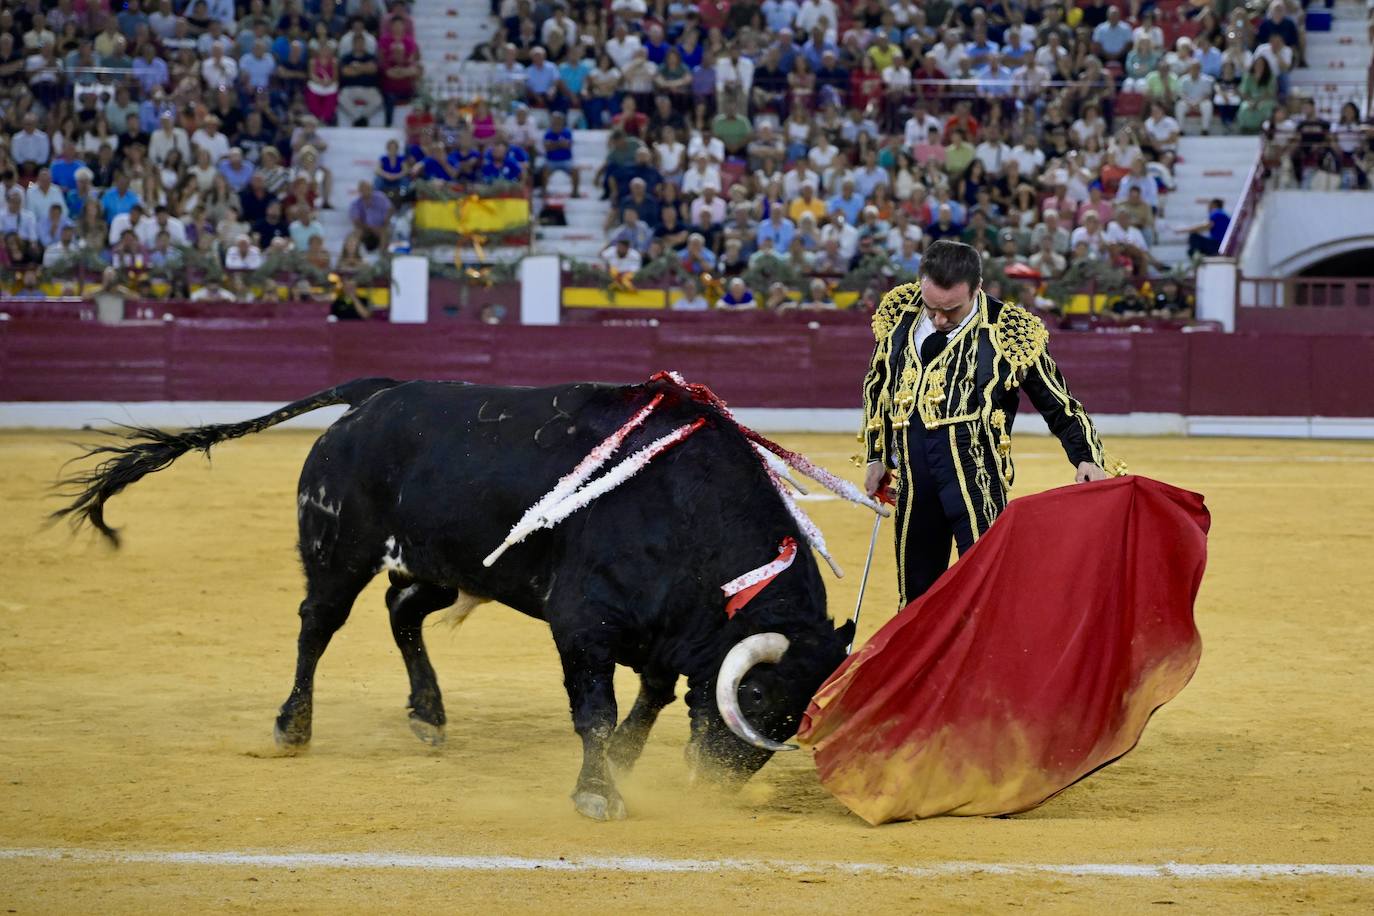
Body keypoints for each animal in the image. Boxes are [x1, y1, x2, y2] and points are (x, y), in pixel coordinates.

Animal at [61, 376, 857, 818]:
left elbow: (652, 699)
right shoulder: (583, 625)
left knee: (402, 611)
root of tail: (374, 397)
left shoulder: (665, 636)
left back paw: (429, 715)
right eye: (757, 696)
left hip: (441, 566)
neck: (685, 509)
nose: (716, 786)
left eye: (795, 712)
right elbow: (597, 713)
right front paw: (598, 794)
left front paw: (626, 770)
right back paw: (293, 726)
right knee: (318, 624)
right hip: (338, 552)